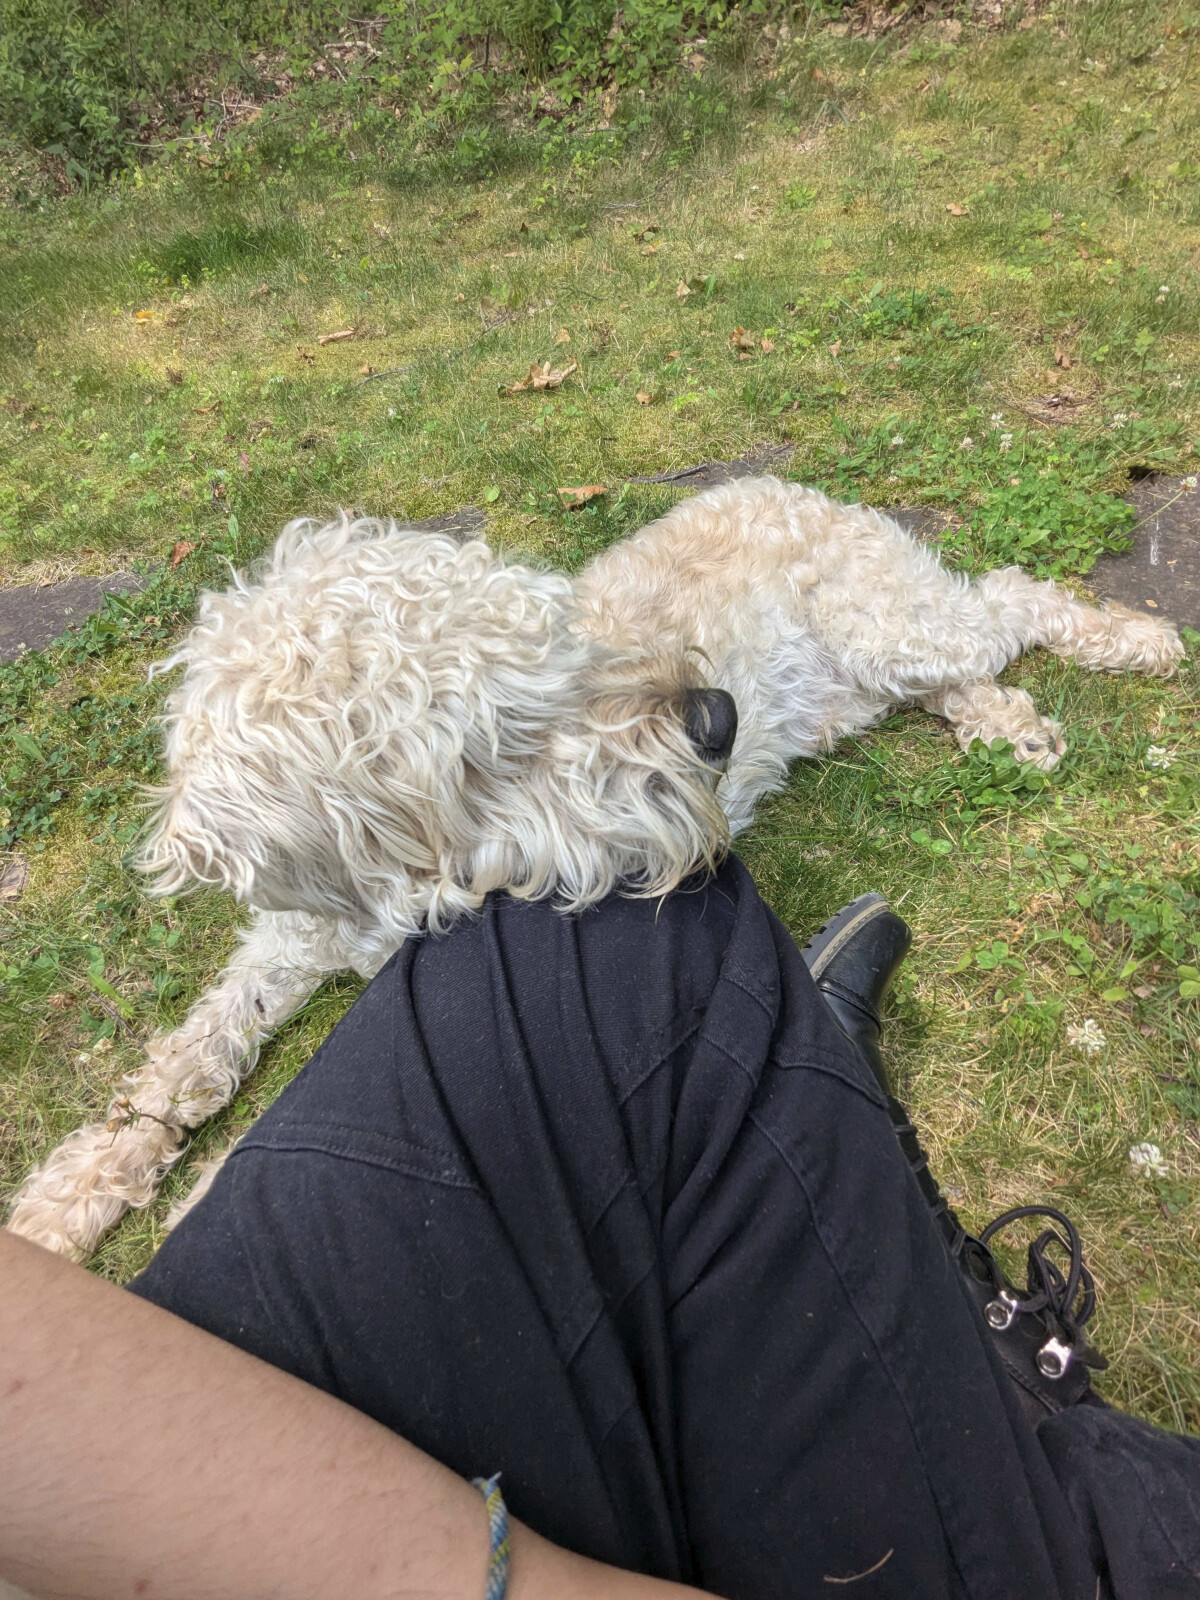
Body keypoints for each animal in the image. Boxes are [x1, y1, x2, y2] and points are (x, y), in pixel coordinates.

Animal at [6, 475, 1181, 1258]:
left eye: (562, 638)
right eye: (494, 739)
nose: (718, 718)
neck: (389, 895)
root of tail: (786, 482)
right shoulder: (289, 936)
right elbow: (186, 1058)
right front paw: (71, 1192)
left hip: (890, 621)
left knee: (1011, 599)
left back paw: (1134, 641)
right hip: (867, 679)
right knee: (963, 670)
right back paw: (1008, 723)